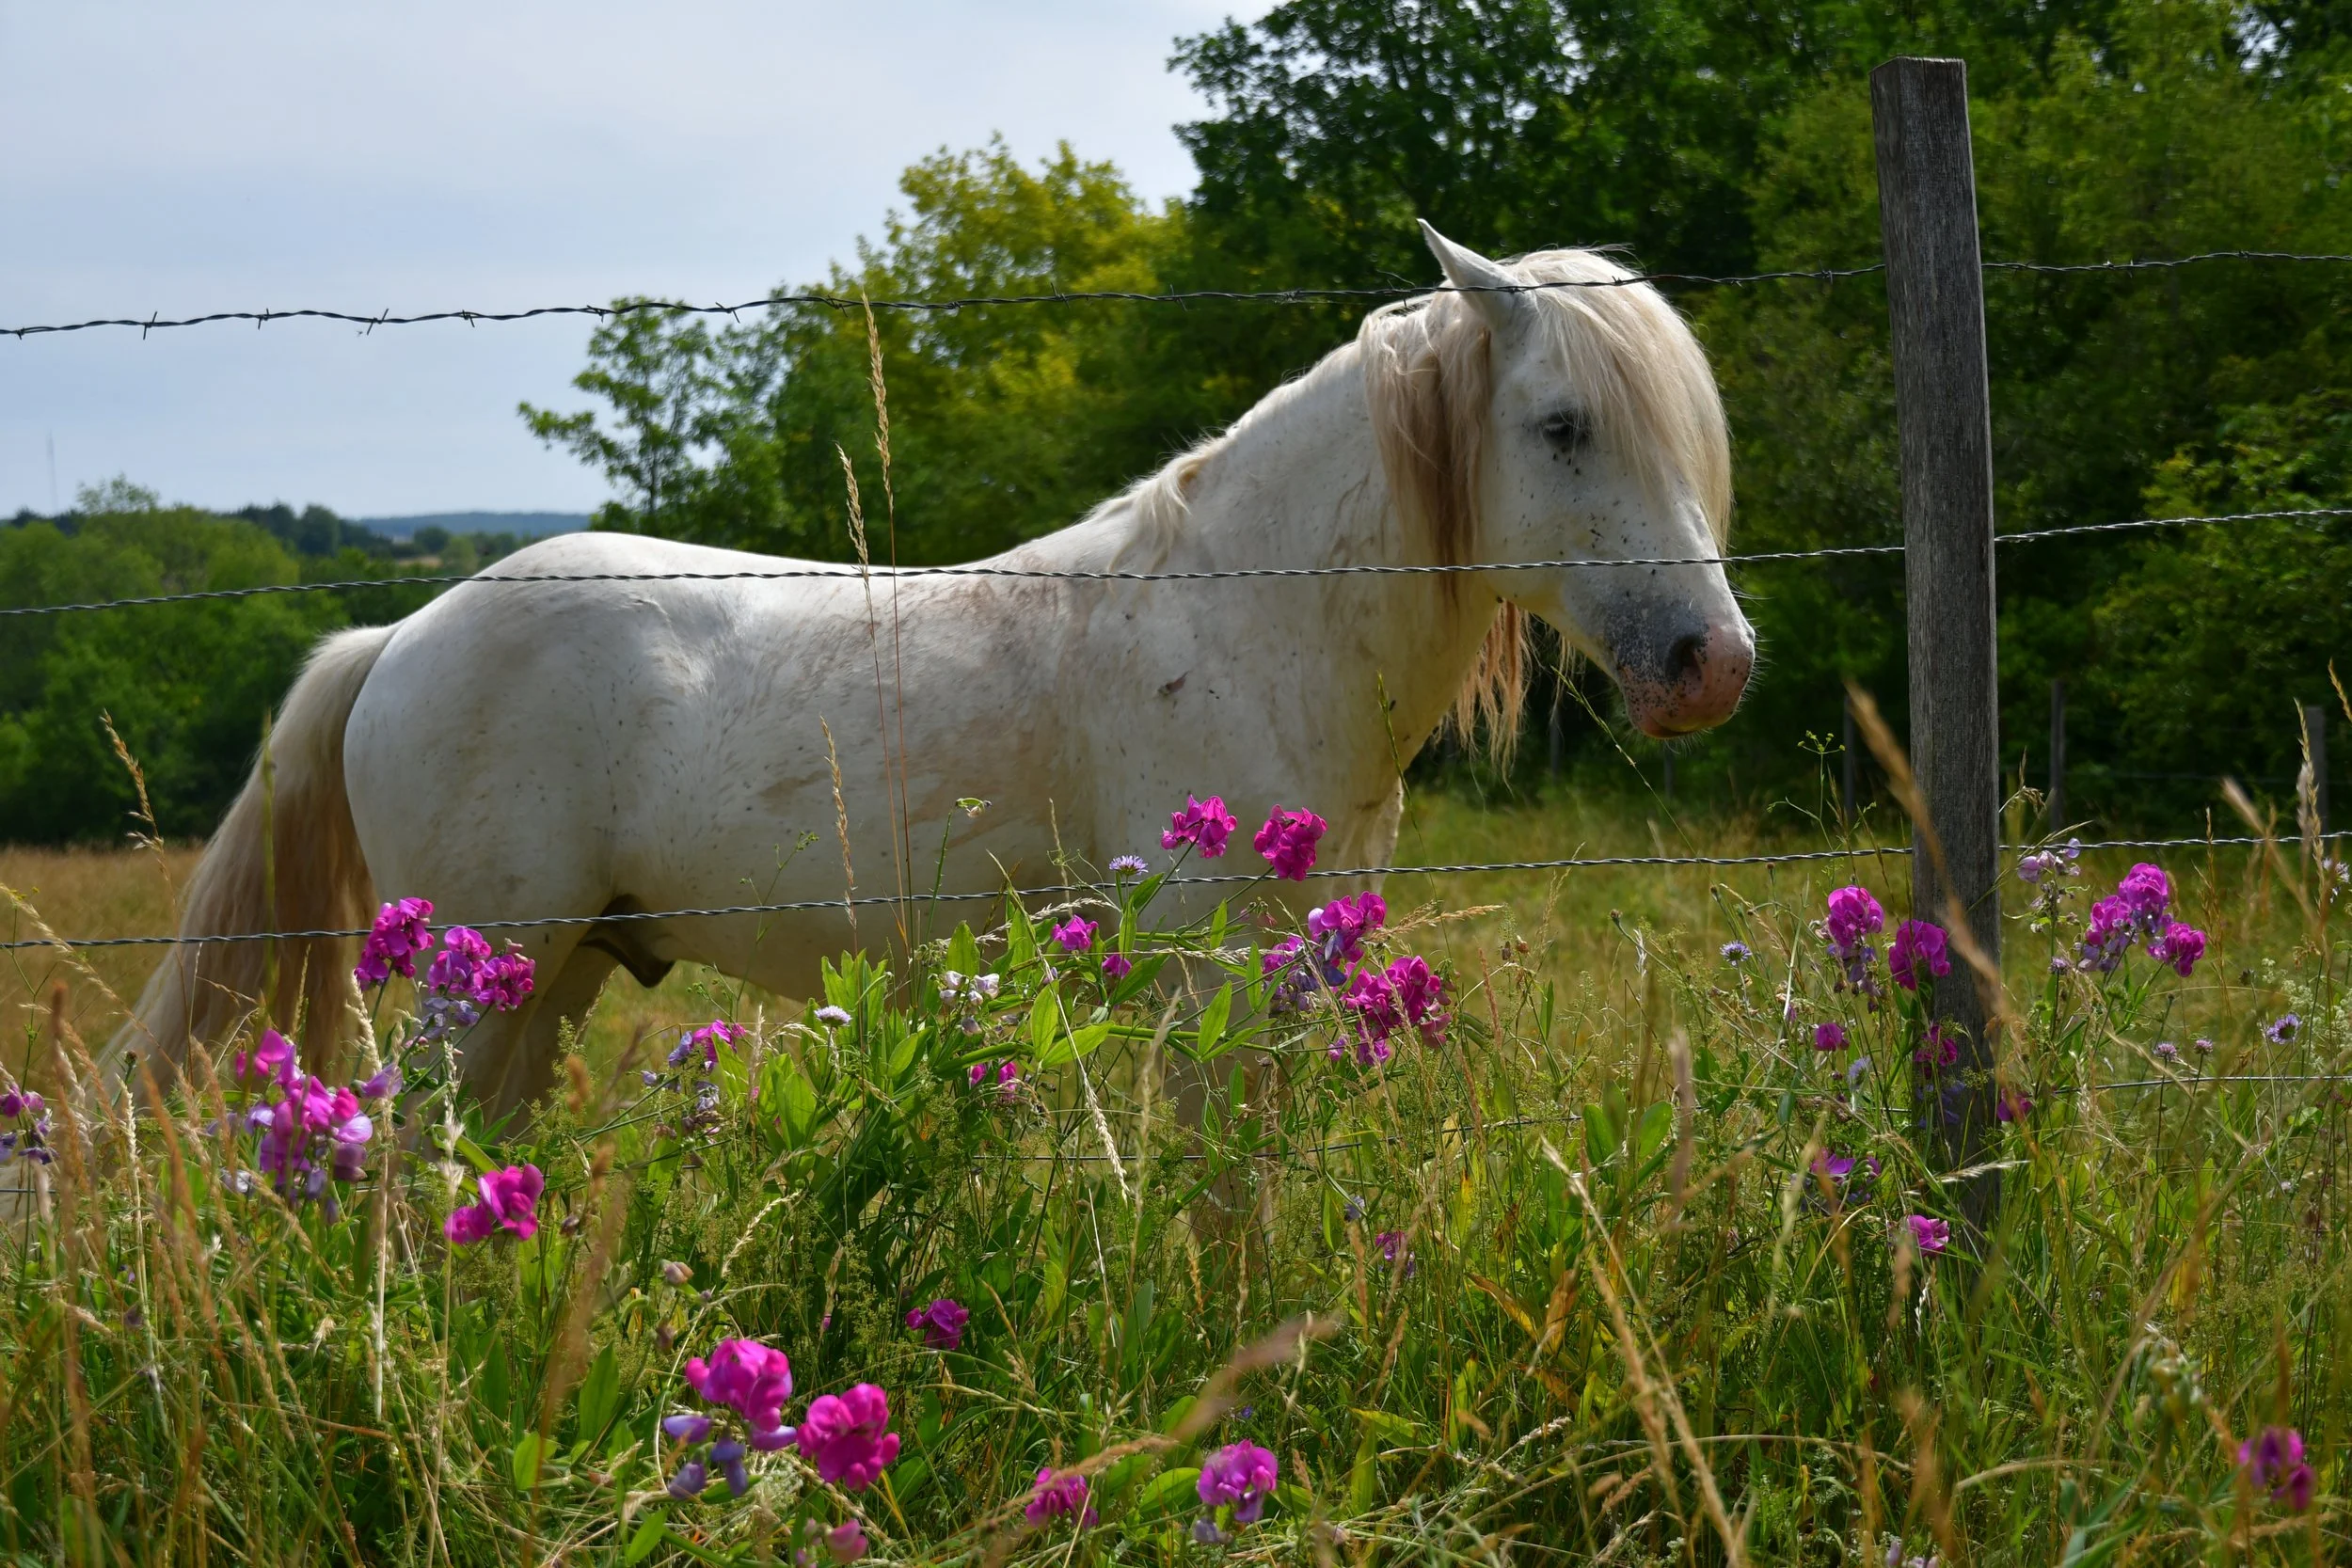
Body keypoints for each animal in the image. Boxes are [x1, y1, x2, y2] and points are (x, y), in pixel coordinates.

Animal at [117, 224, 1754, 1117]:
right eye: (1562, 425)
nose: (1711, 662)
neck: (1247, 622)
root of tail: (399, 634)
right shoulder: (1201, 979)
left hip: (553, 978)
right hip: (475, 986)